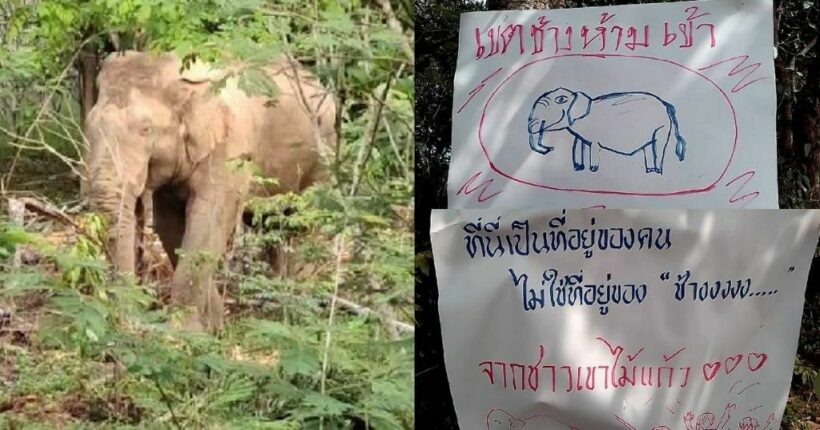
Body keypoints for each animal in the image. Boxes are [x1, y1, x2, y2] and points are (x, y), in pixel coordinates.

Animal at [84, 52, 336, 330]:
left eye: (146, 129)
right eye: (88, 124)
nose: (130, 321)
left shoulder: (229, 150)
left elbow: (207, 222)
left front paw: (186, 331)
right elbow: (170, 225)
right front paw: (213, 324)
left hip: (323, 155)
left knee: (308, 221)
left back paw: (302, 310)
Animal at [524, 86, 684, 174]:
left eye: (561, 99)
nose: (550, 148)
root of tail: (666, 104)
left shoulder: (595, 135)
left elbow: (594, 146)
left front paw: (593, 169)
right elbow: (578, 144)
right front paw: (579, 168)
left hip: (661, 127)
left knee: (658, 146)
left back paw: (658, 171)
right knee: (649, 147)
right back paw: (650, 171)